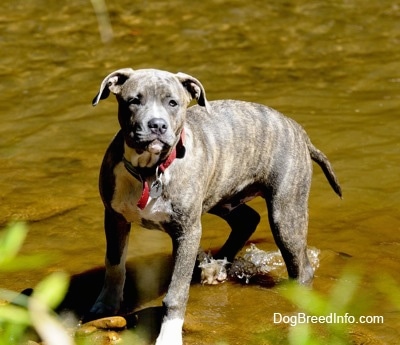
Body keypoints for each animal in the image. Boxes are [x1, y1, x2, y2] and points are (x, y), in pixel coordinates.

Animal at [88, 68, 340, 344]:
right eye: (134, 100)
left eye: (173, 103)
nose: (157, 125)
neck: (148, 171)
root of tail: (298, 131)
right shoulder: (114, 218)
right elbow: (114, 265)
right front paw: (105, 306)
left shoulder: (187, 231)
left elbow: (176, 292)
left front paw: (169, 335)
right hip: (224, 196)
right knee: (247, 220)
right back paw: (217, 266)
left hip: (285, 214)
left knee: (301, 269)